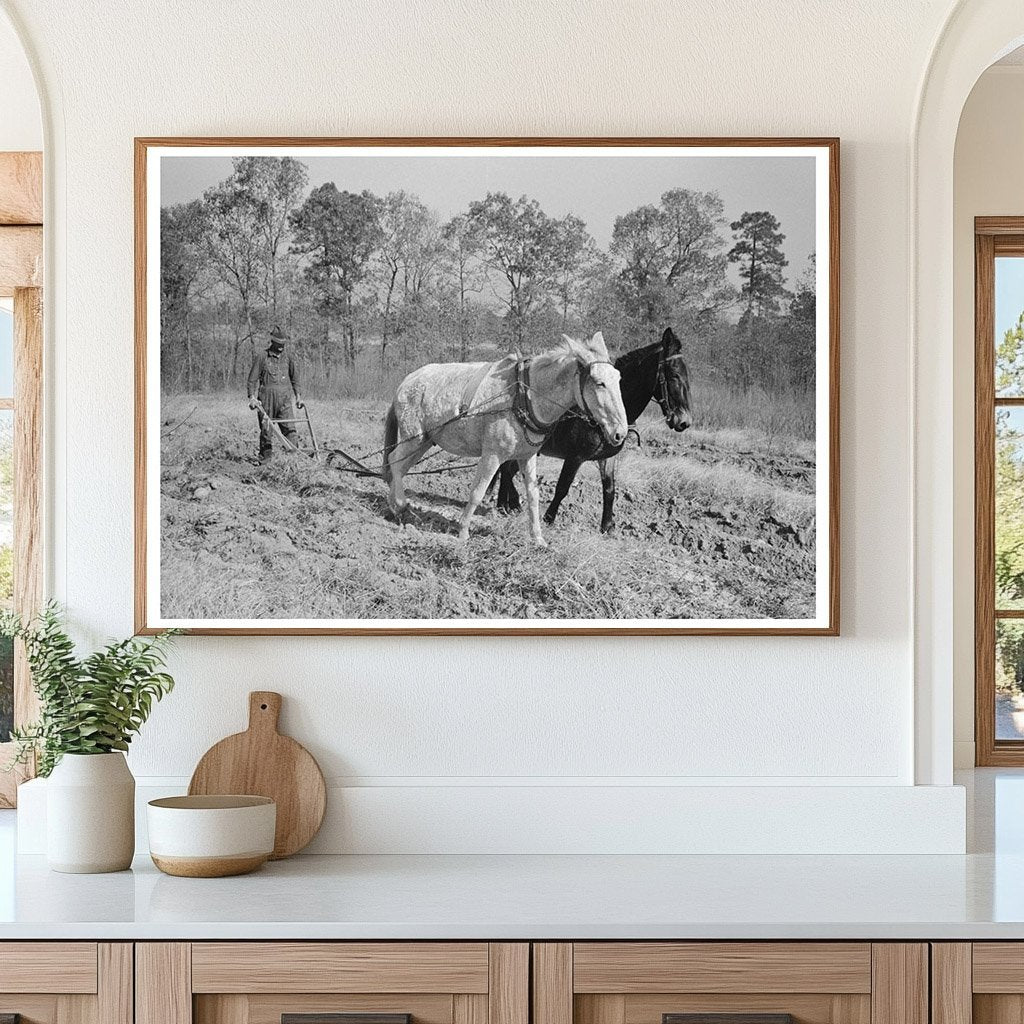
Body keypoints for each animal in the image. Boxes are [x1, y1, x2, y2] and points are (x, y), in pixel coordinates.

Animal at [382, 333, 626, 544]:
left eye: (618, 378)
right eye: (599, 382)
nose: (620, 433)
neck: (524, 396)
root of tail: (405, 382)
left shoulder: (527, 456)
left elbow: (533, 495)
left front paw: (538, 538)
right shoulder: (492, 455)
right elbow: (478, 491)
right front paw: (463, 531)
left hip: (424, 442)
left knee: (400, 468)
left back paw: (394, 505)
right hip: (412, 437)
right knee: (394, 461)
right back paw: (400, 505)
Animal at [493, 327, 692, 536]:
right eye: (674, 375)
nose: (684, 422)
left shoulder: (608, 458)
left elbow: (610, 489)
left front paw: (607, 526)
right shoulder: (575, 457)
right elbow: (562, 487)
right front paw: (548, 519)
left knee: (507, 470)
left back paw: (507, 504)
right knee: (505, 469)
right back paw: (508, 504)